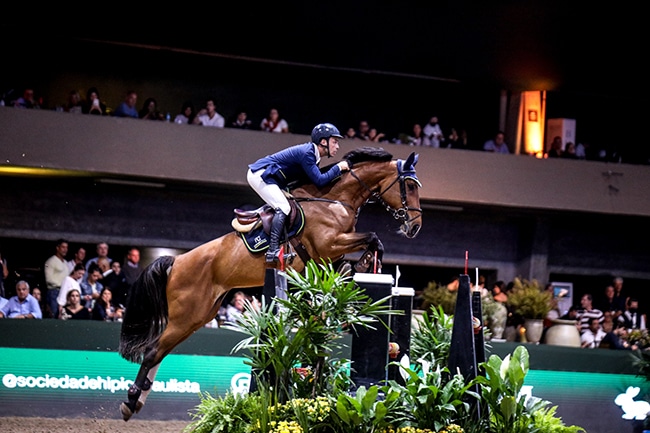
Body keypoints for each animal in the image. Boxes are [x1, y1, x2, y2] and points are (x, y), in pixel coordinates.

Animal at [117, 145, 420, 418]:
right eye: (410, 185)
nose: (414, 227)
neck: (335, 200)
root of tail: (176, 262)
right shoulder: (329, 244)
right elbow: (372, 238)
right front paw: (365, 262)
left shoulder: (327, 255)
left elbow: (360, 252)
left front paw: (360, 266)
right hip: (187, 315)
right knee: (153, 351)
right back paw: (130, 401)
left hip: (198, 316)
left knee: (160, 351)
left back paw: (137, 401)